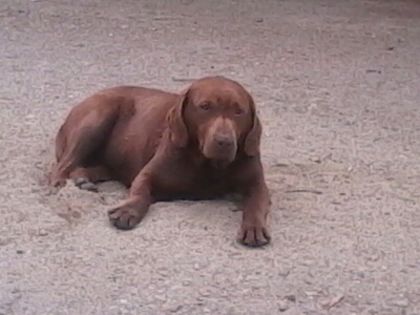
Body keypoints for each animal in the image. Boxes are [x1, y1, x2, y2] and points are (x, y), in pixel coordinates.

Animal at [50, 76, 272, 247]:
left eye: (239, 111)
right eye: (205, 107)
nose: (225, 141)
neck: (208, 165)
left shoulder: (257, 184)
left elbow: (256, 204)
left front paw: (254, 228)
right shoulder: (148, 175)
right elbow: (140, 192)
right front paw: (127, 210)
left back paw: (83, 180)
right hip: (97, 118)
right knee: (62, 166)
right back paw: (59, 183)